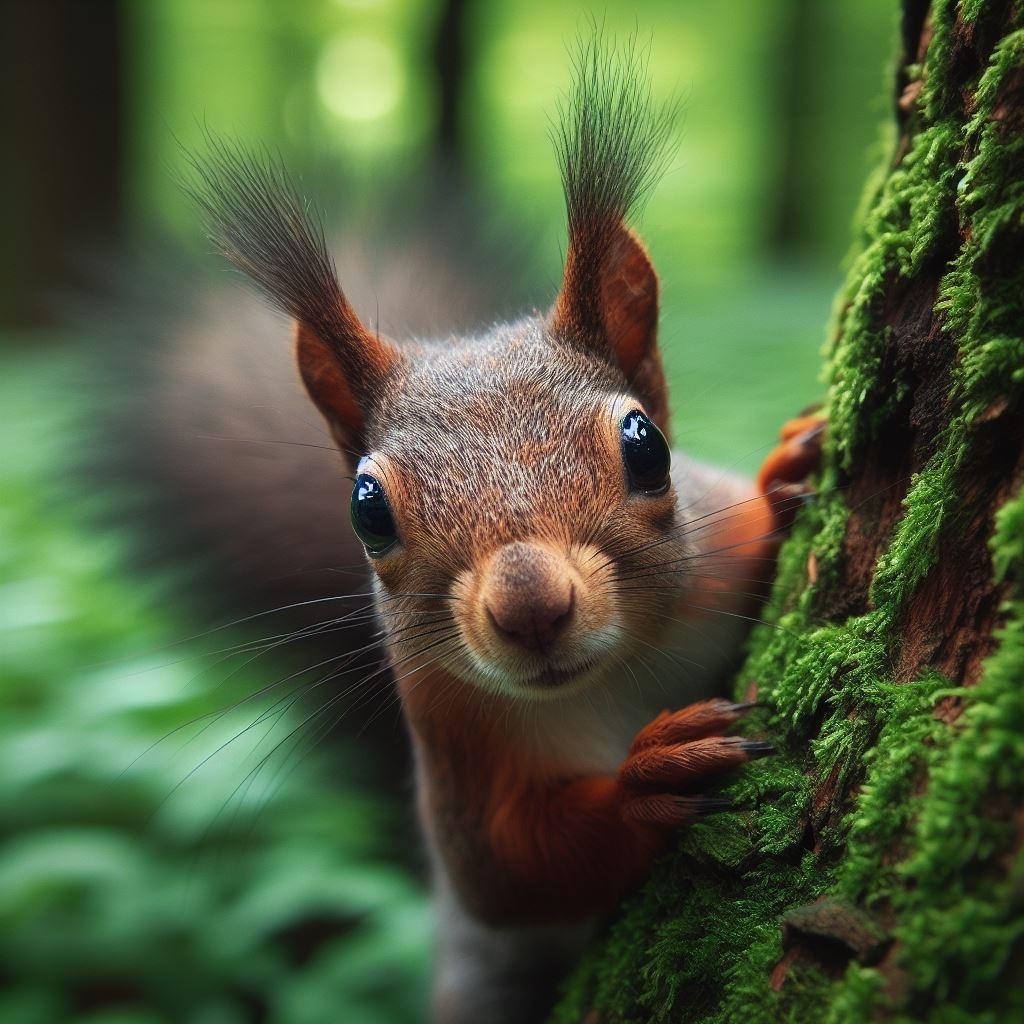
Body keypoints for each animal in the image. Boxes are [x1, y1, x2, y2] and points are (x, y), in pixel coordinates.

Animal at [186, 36, 823, 1024]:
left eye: (648, 446)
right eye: (366, 509)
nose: (530, 609)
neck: (610, 679)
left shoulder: (716, 566)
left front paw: (783, 478)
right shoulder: (452, 738)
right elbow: (511, 868)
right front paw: (648, 779)